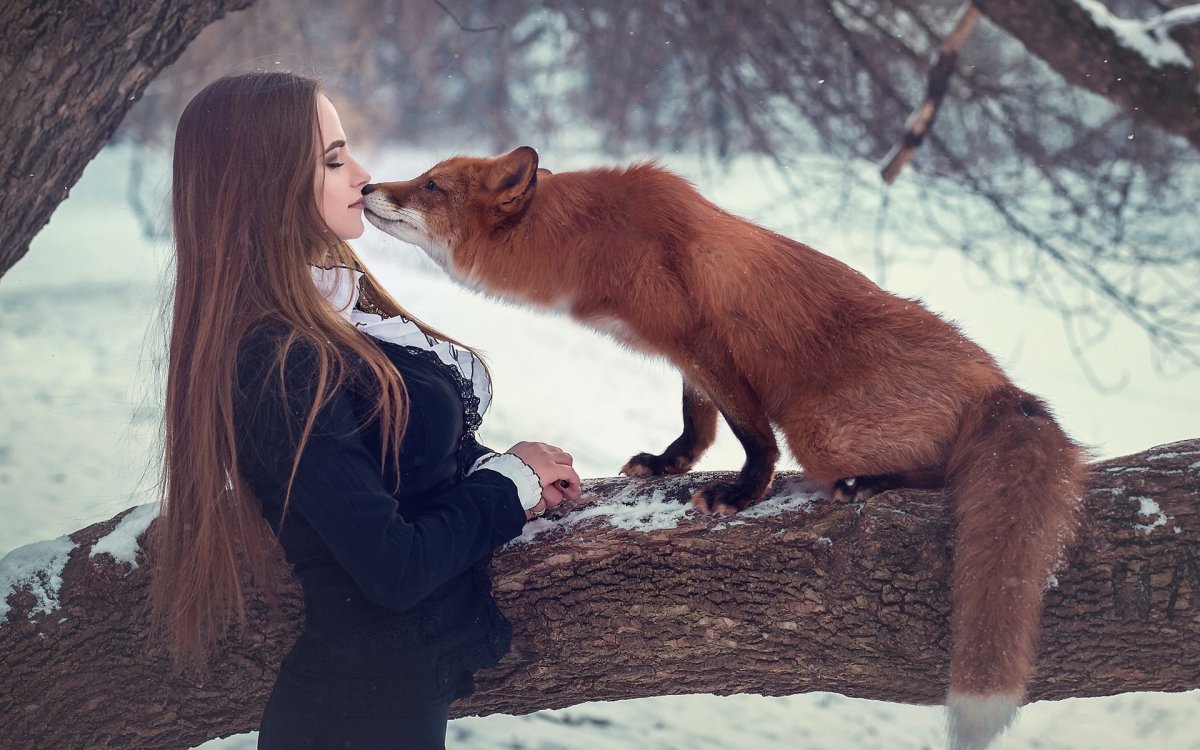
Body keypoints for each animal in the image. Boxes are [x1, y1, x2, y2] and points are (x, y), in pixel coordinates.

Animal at [360, 146, 1086, 750]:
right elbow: (697, 423)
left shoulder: (707, 344)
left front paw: (741, 492)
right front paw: (670, 464)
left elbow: (750, 434)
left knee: (939, 471)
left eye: (430, 186)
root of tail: (1001, 385)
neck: (589, 241)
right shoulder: (688, 360)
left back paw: (875, 484)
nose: (367, 185)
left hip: (819, 429)